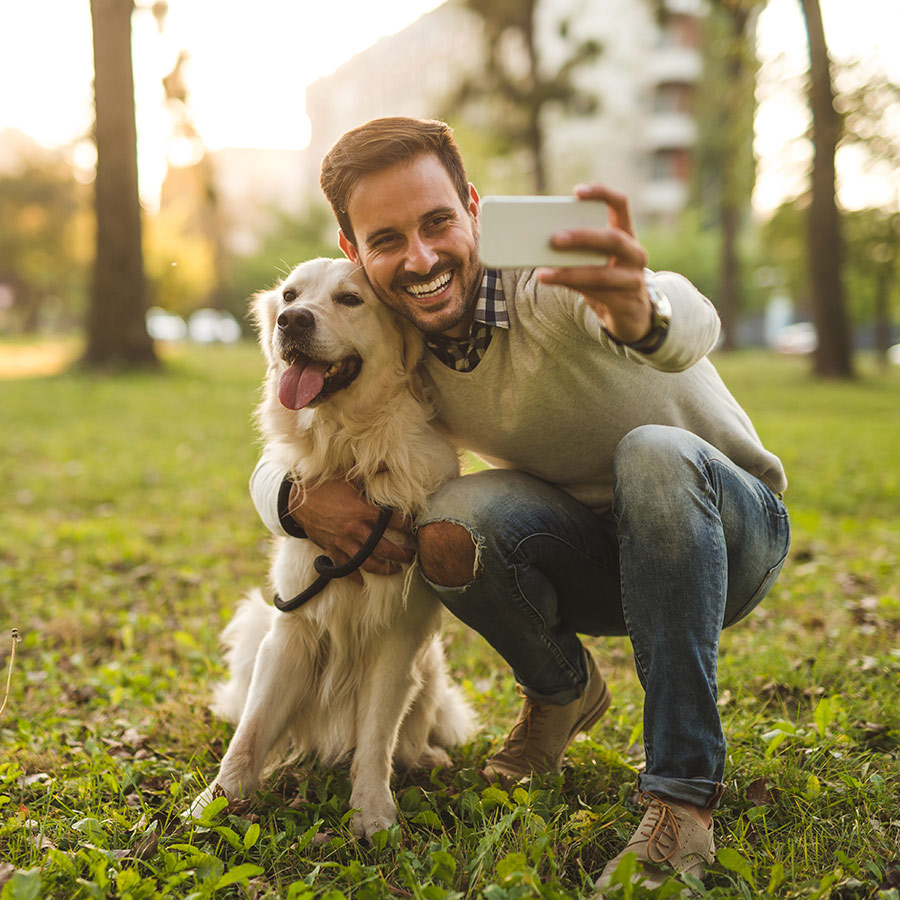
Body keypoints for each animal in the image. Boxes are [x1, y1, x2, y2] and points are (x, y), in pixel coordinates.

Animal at [193, 256, 478, 840]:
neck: (350, 446)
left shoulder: (398, 636)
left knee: (413, 733)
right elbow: (252, 730)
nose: (292, 321)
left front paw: (372, 812)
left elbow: (375, 739)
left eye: (350, 299)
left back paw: (425, 756)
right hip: (256, 623)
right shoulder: (292, 627)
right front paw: (215, 801)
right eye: (289, 295)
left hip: (430, 664)